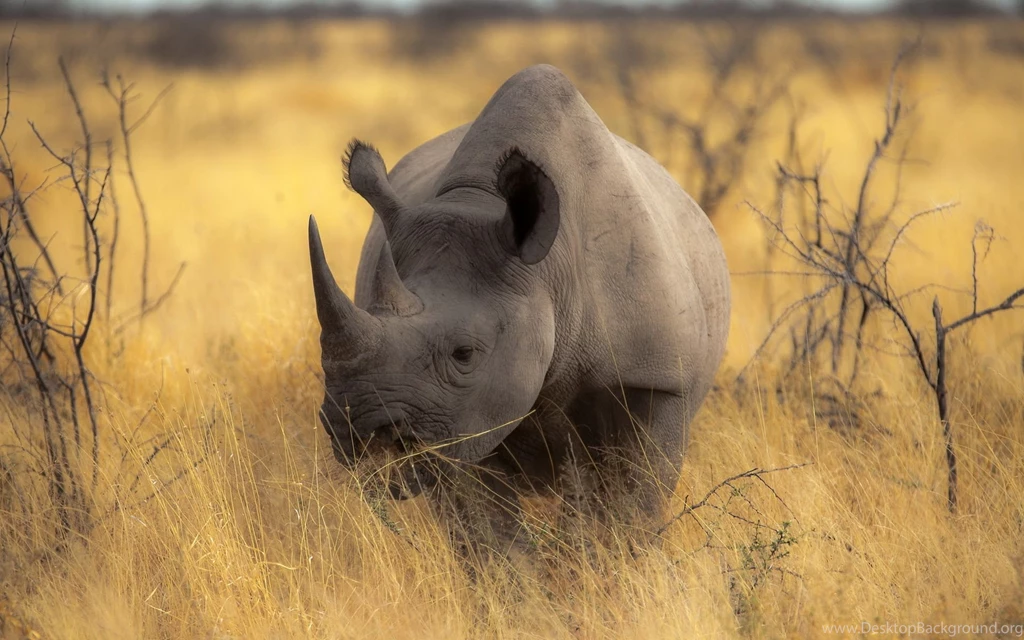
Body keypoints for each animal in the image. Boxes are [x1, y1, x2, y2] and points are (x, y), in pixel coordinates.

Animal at [308, 64, 730, 545]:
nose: (356, 433)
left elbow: (630, 506)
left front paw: (606, 563)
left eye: (464, 354)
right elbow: (490, 536)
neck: (550, 274)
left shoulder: (657, 375)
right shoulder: (464, 420)